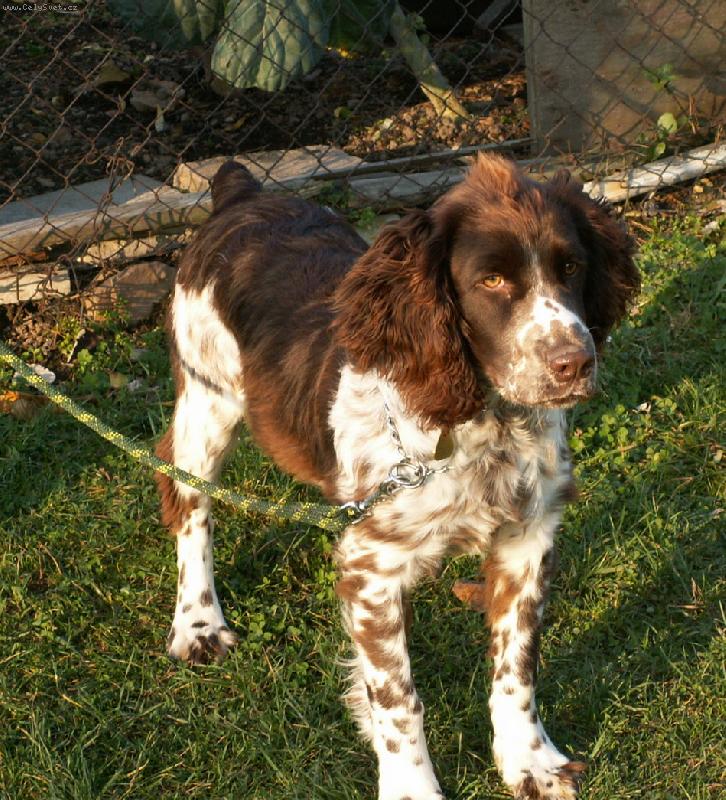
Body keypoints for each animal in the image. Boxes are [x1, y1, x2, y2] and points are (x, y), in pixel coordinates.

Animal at [155, 154, 638, 800]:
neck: (479, 425)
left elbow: (517, 666)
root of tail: (243, 193)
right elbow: (398, 698)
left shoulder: (527, 539)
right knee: (189, 504)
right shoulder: (373, 567)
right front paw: (412, 787)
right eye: (491, 281)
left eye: (572, 267)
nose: (574, 363)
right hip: (205, 402)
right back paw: (199, 622)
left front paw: (529, 761)